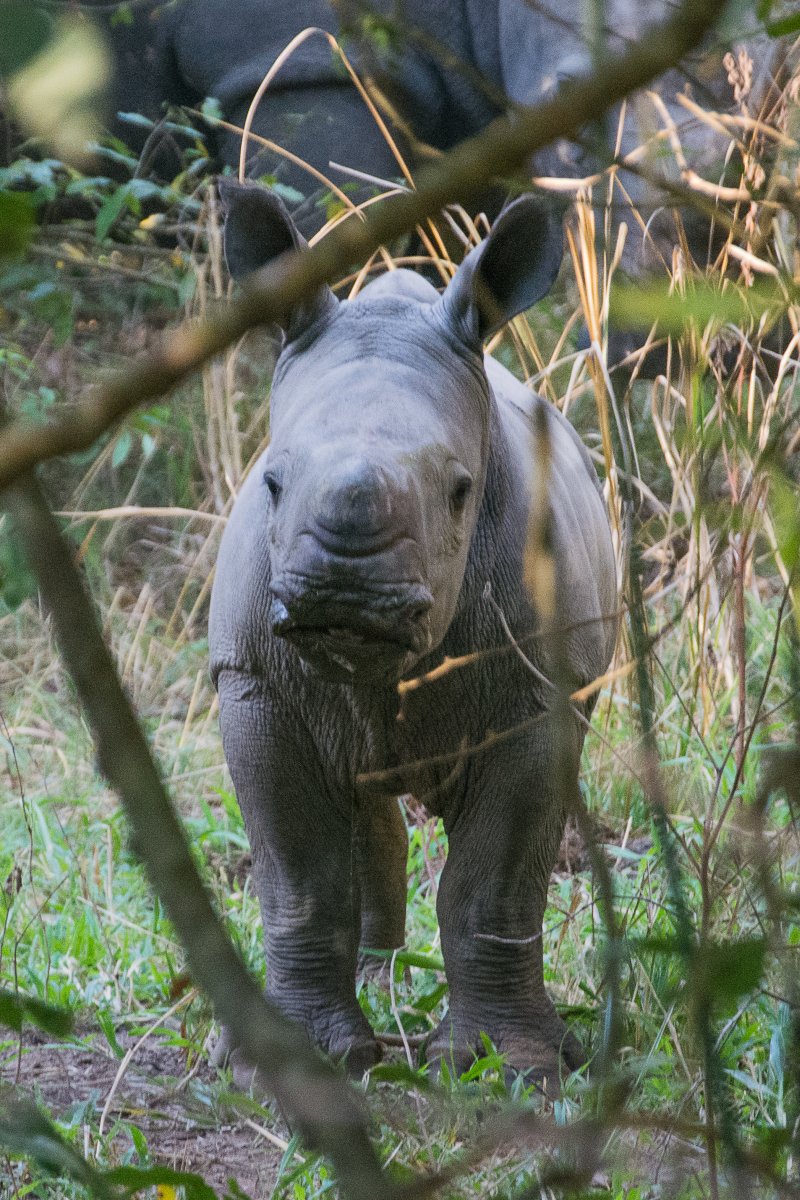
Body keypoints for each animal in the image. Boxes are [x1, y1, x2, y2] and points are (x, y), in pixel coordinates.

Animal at [209, 175, 618, 1089]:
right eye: (272, 483)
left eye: (461, 491)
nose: (344, 590)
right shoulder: (253, 679)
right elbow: (300, 877)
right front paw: (285, 1067)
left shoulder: (540, 689)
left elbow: (493, 883)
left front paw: (515, 1068)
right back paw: (380, 987)